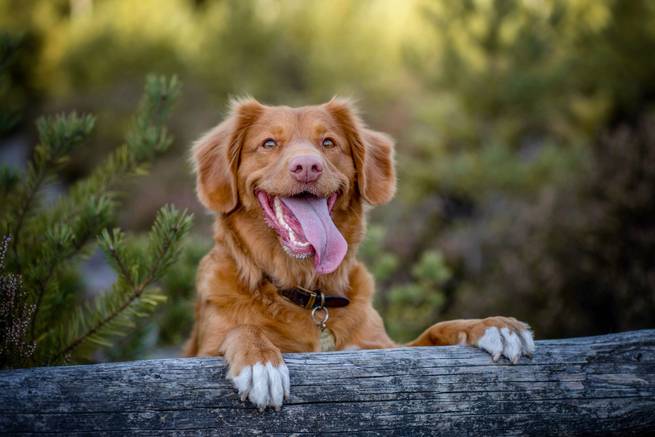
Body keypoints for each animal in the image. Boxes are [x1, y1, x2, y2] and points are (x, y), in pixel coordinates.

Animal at [183, 98, 532, 408]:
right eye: (269, 143)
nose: (307, 166)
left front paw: (492, 325)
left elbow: (436, 330)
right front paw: (261, 362)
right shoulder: (200, 353)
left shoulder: (383, 349)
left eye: (328, 142)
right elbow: (243, 329)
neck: (309, 294)